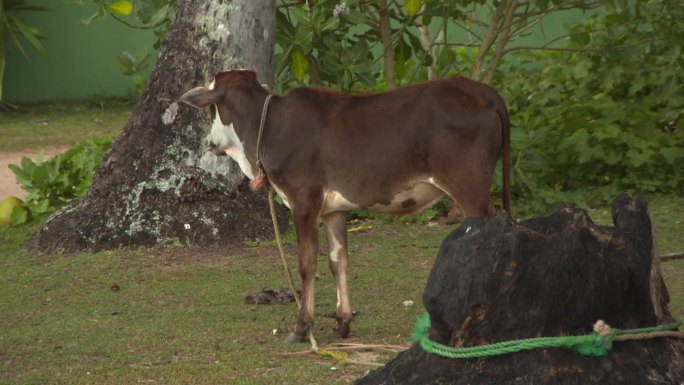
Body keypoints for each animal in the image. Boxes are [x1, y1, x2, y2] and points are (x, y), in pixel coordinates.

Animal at [179, 70, 510, 342]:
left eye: (211, 108)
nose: (208, 141)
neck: (271, 128)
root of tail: (482, 90)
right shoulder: (333, 211)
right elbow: (337, 261)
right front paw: (342, 323)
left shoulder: (304, 203)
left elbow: (307, 265)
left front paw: (301, 328)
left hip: (470, 189)